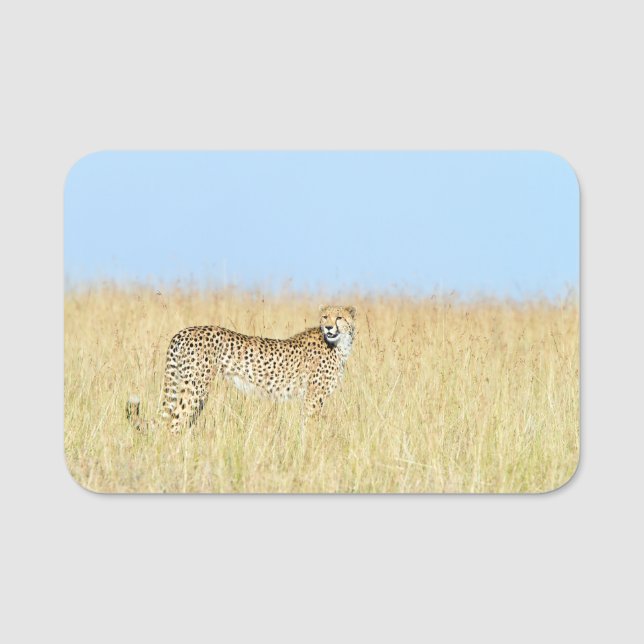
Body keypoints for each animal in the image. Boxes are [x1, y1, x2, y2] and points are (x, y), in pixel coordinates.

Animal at [126, 305, 357, 433]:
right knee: (174, 423)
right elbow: (309, 427)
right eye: (325, 317)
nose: (329, 327)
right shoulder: (313, 398)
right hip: (195, 388)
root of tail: (183, 332)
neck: (339, 345)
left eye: (339, 317)